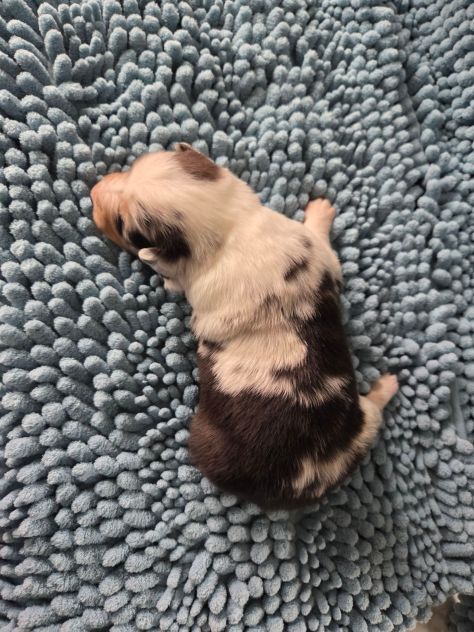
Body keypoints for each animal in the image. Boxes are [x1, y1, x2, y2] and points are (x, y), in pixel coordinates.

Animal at [91, 143, 398, 510]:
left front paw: (320, 208)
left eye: (122, 224)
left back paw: (387, 383)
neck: (228, 228)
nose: (93, 193)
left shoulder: (318, 253)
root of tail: (298, 482)